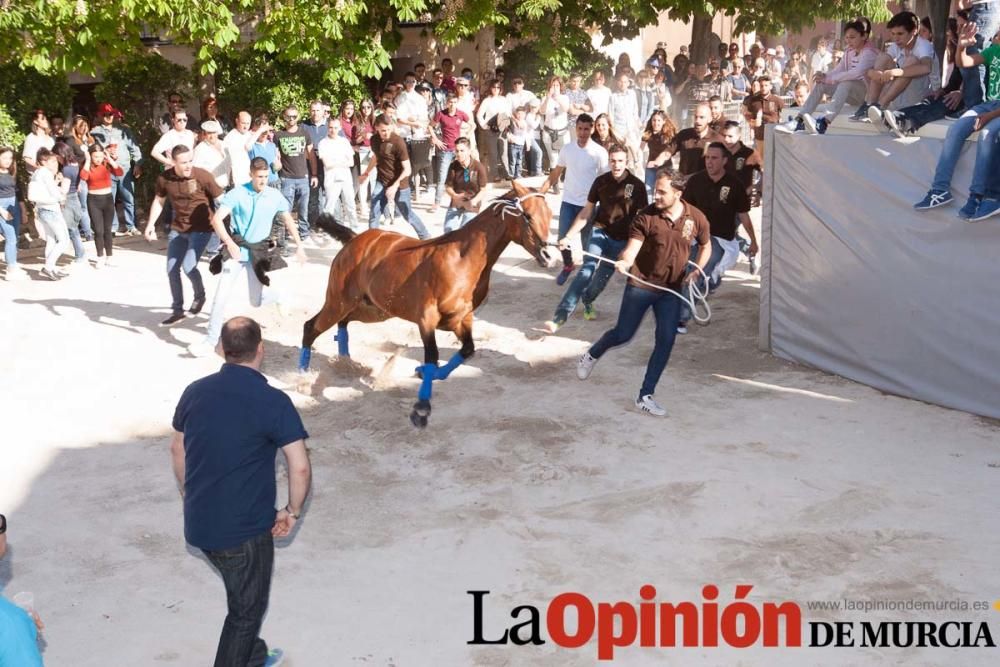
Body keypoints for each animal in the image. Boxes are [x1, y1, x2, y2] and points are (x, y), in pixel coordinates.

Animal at [300, 180, 560, 426]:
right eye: (528, 216)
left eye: (549, 214)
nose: (549, 256)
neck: (462, 259)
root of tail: (354, 240)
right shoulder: (426, 318)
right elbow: (433, 356)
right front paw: (421, 408)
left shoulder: (462, 318)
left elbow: (467, 350)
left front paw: (423, 372)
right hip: (339, 301)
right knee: (311, 326)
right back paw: (302, 374)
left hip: (374, 309)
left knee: (343, 323)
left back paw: (346, 362)